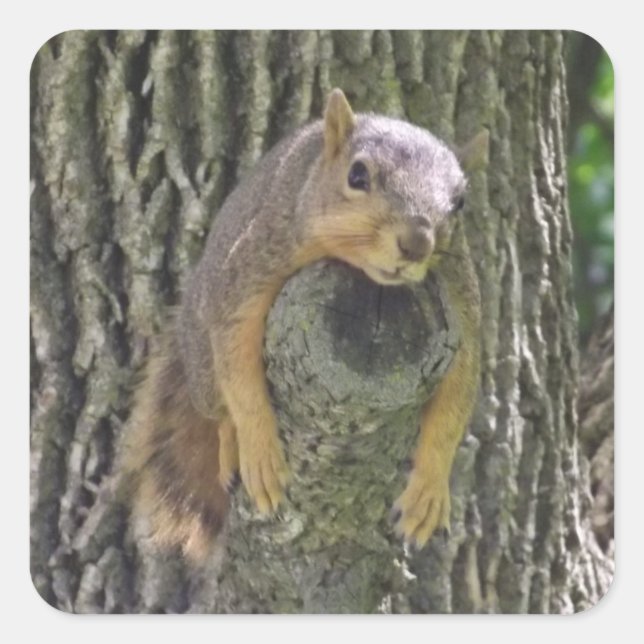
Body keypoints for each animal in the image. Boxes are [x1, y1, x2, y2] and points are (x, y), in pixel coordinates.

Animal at [124, 88, 486, 563]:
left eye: (460, 202)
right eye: (357, 175)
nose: (417, 242)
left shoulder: (461, 306)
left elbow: (455, 405)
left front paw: (428, 490)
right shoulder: (254, 266)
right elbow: (239, 367)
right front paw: (259, 449)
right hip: (201, 361)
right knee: (217, 406)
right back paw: (231, 444)